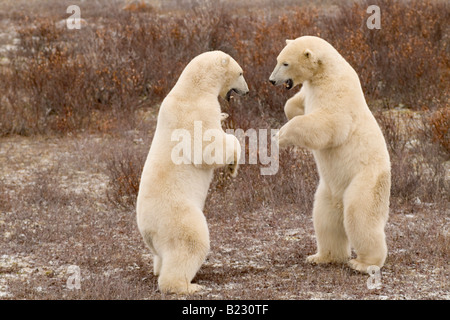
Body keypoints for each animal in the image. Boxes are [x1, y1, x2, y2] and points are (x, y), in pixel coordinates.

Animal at [137, 50, 250, 292]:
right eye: (240, 72)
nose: (247, 91)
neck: (193, 89)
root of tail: (147, 232)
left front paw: (224, 118)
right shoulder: (196, 112)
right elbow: (208, 147)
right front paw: (232, 164)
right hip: (178, 216)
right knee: (190, 243)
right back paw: (187, 286)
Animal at [270, 36, 390, 274]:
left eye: (285, 63)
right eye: (278, 59)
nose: (271, 81)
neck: (327, 71)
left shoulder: (337, 92)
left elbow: (329, 124)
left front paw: (280, 136)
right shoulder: (312, 88)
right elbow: (296, 102)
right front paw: (290, 112)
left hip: (365, 180)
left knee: (359, 216)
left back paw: (363, 263)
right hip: (328, 190)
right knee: (325, 219)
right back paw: (323, 257)